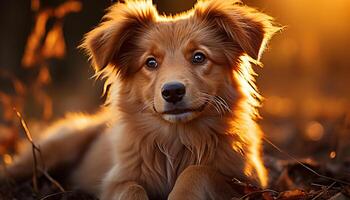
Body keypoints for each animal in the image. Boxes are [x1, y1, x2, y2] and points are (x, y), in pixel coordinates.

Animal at [0, 0, 278, 199]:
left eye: (199, 57)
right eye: (150, 62)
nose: (173, 91)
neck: (177, 140)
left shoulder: (250, 180)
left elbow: (197, 171)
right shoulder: (117, 180)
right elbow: (131, 189)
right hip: (56, 147)